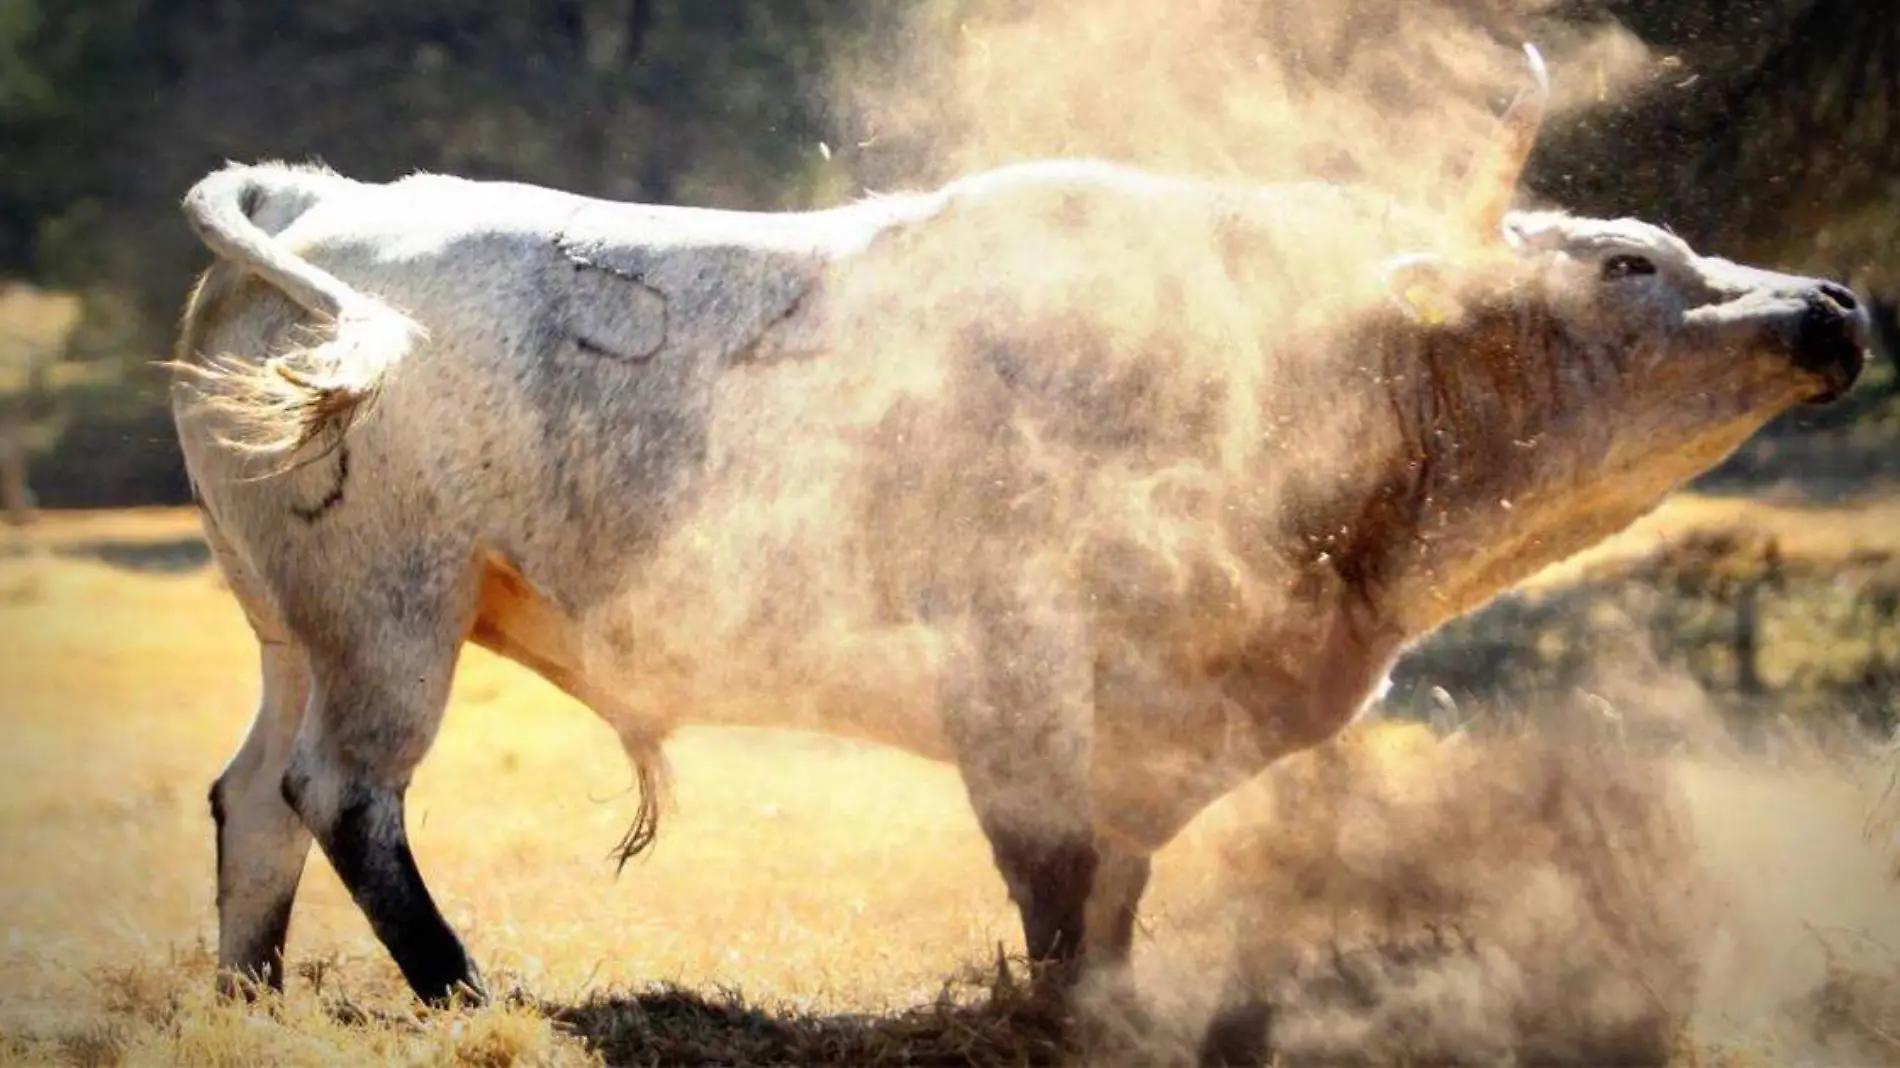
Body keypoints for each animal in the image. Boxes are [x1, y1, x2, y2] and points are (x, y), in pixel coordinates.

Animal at [167, 47, 1869, 1010]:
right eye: (1628, 264)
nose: (1833, 306)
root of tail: (327, 198)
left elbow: (1111, 898)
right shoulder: (1022, 687)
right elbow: (1054, 885)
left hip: (292, 626)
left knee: (253, 794)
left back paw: (251, 1000)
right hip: (395, 612)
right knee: (344, 796)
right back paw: (463, 995)